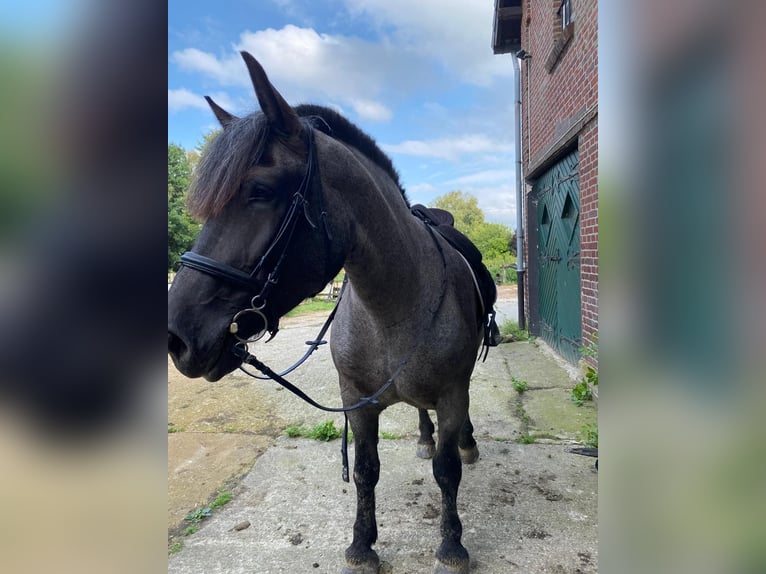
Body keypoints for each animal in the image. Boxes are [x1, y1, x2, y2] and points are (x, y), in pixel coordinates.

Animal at [169, 51, 500, 572]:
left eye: (259, 191)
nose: (176, 337)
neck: (392, 310)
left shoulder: (451, 393)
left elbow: (447, 471)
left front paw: (451, 544)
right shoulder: (356, 402)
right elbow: (365, 471)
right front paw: (362, 545)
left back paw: (463, 443)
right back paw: (424, 437)